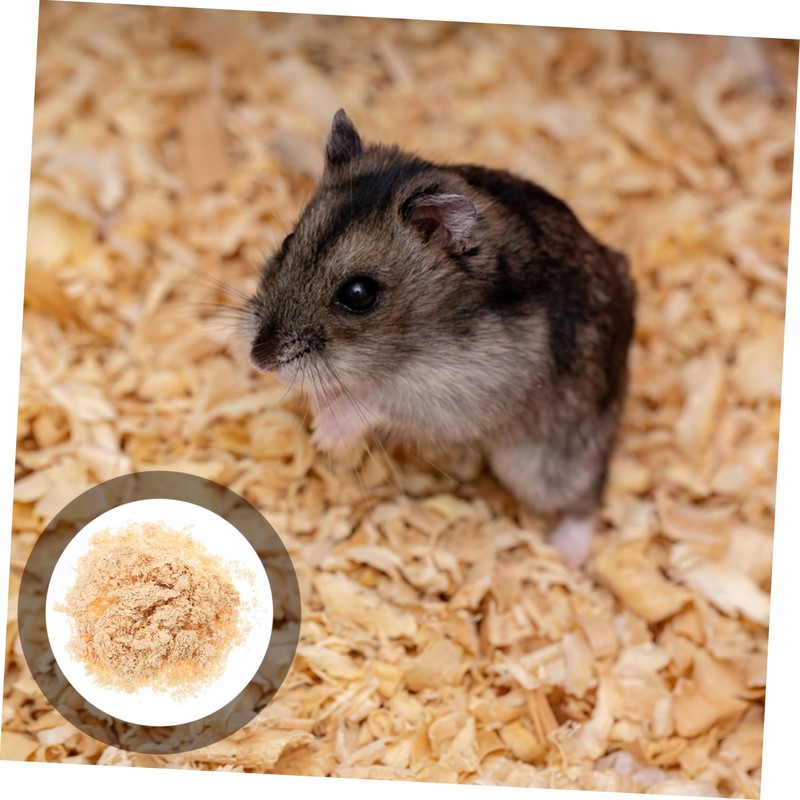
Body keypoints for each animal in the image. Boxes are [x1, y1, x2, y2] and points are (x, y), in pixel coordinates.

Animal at [244, 110, 636, 567]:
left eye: (358, 294)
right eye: (288, 242)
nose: (259, 359)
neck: (420, 336)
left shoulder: (461, 390)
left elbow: (377, 400)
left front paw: (326, 433)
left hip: (547, 461)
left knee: (588, 491)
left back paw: (565, 555)